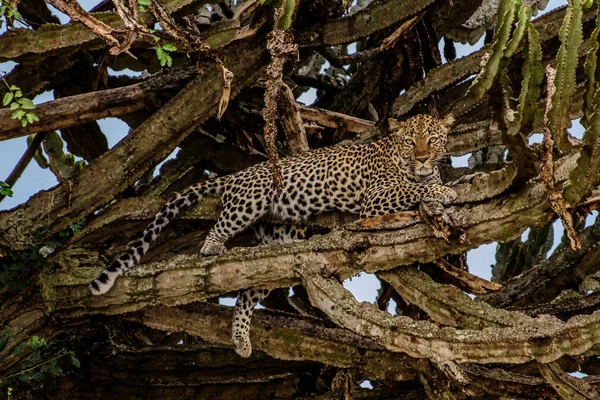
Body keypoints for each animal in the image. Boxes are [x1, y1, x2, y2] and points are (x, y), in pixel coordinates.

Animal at [88, 111, 454, 354]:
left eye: (432, 139)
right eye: (410, 140)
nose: (423, 156)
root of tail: (238, 174)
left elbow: (423, 187)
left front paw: (441, 188)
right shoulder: (376, 196)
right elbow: (413, 189)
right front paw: (443, 192)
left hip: (277, 249)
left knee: (246, 294)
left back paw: (240, 340)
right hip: (250, 200)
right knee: (219, 228)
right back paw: (212, 248)